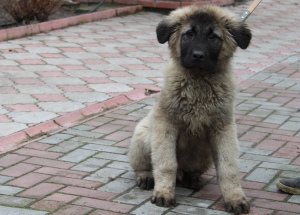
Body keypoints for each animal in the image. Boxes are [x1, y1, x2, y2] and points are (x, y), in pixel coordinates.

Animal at [127, 4, 252, 214]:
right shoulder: (166, 126)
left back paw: (192, 178)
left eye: (213, 37)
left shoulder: (224, 128)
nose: (198, 56)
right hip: (143, 137)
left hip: (205, 152)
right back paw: (146, 177)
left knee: (190, 171)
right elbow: (166, 163)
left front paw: (235, 198)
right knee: (145, 165)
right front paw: (163, 193)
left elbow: (229, 167)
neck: (198, 82)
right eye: (189, 34)